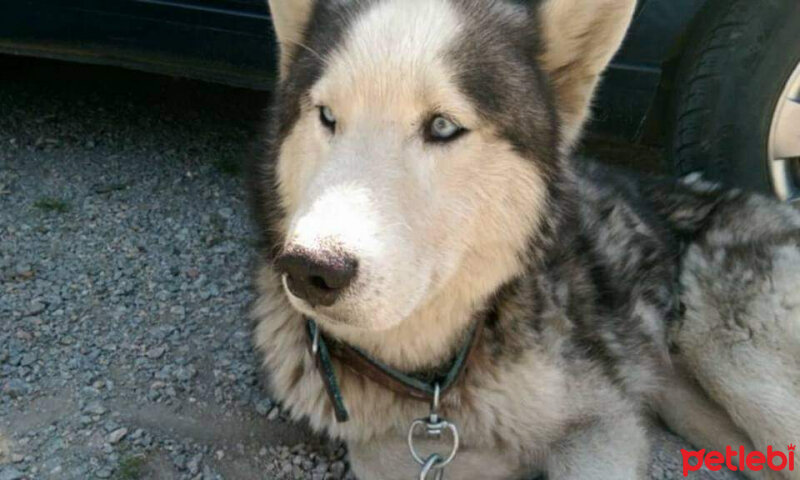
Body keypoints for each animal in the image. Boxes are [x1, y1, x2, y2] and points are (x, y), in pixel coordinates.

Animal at [250, 1, 800, 478]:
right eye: (326, 116)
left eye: (442, 126)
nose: (311, 268)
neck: (437, 382)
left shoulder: (605, 425)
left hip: (730, 363)